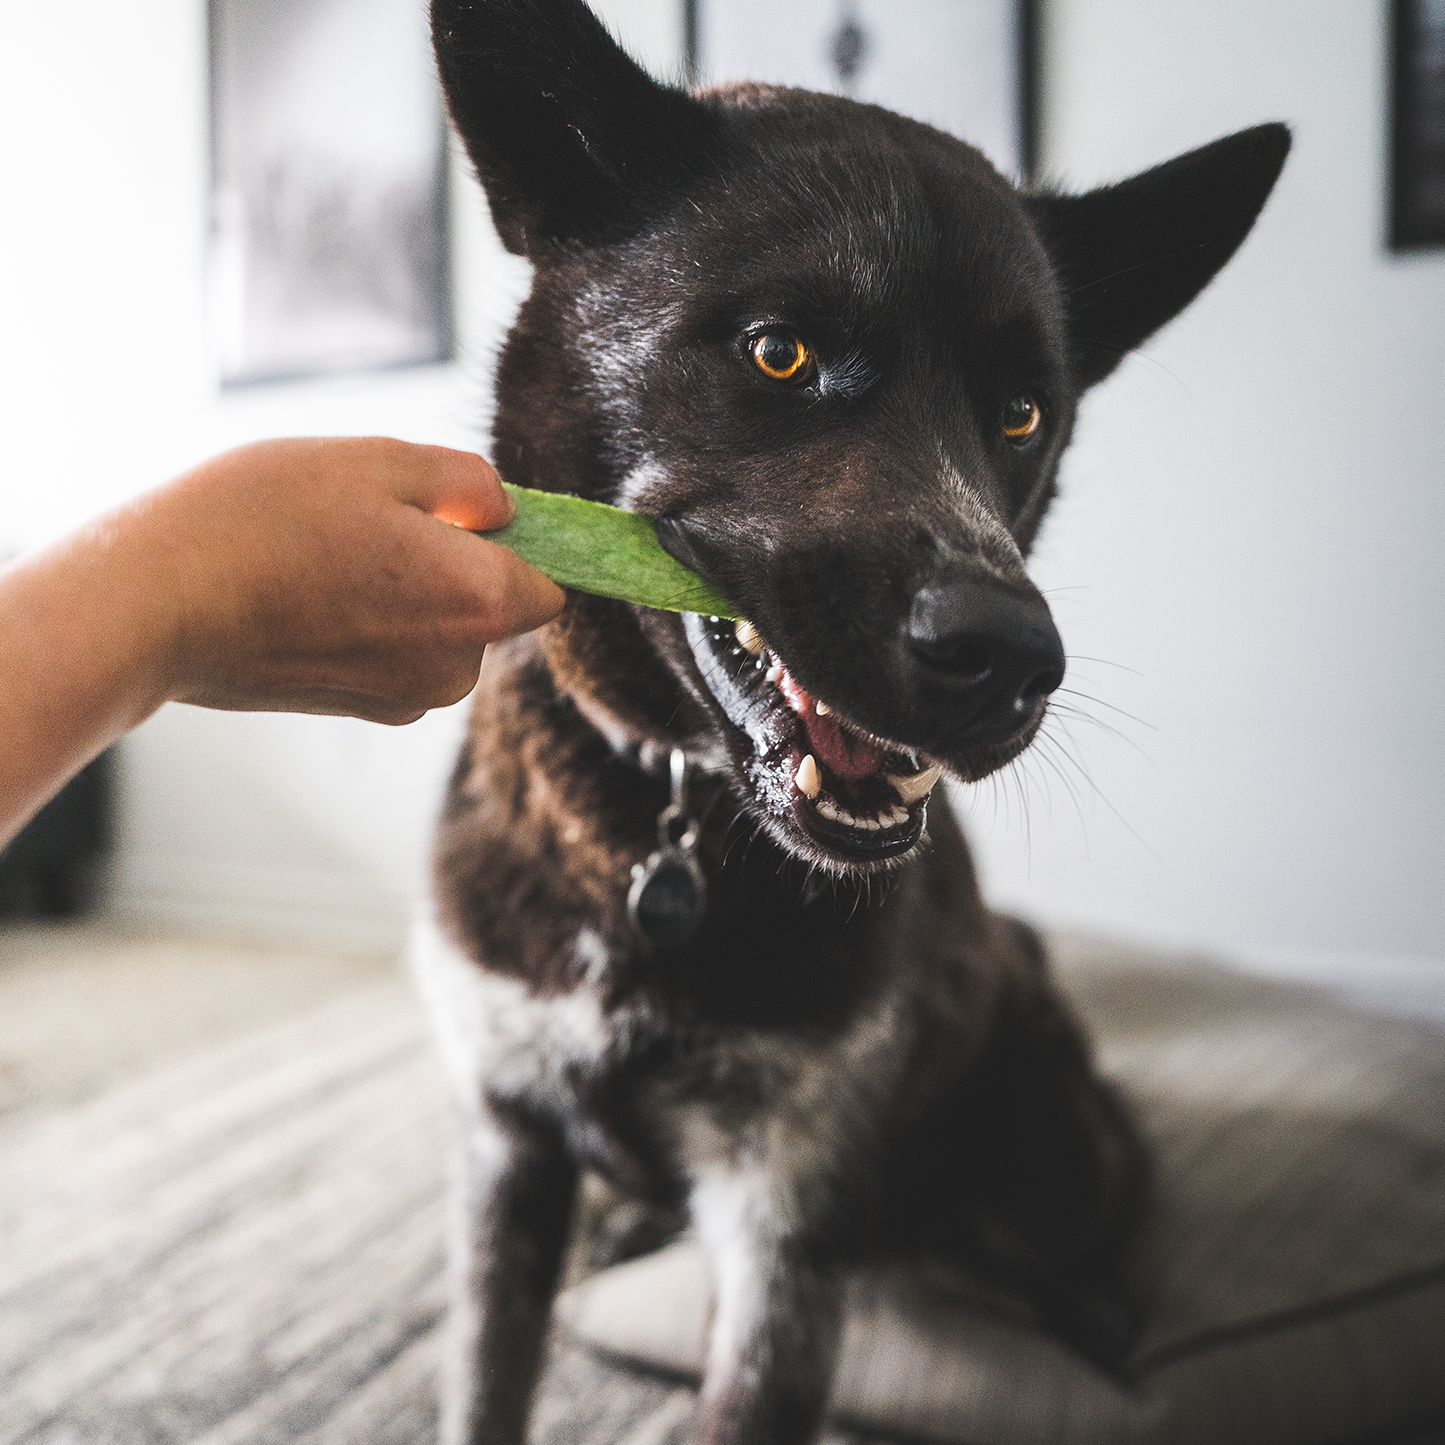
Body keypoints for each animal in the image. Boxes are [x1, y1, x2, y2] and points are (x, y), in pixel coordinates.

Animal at [416, 5, 1288, 1439]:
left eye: (1022, 411)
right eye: (780, 351)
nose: (1010, 660)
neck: (662, 823)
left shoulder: (787, 1214)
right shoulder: (506, 1146)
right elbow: (484, 1381)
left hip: (1047, 1142)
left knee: (1091, 1219)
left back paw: (1102, 1322)